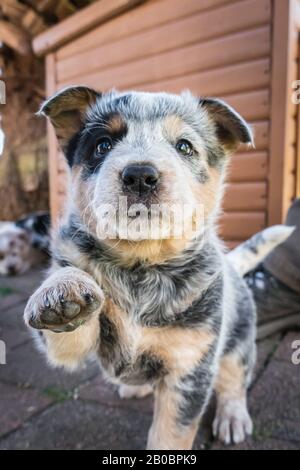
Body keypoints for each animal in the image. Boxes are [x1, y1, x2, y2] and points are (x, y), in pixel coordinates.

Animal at [24, 86, 256, 450]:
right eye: (103, 144)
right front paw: (61, 292)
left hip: (239, 341)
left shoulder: (190, 366)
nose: (140, 176)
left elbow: (169, 436)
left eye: (184, 146)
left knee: (234, 380)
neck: (140, 267)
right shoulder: (76, 344)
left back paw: (233, 418)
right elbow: (69, 314)